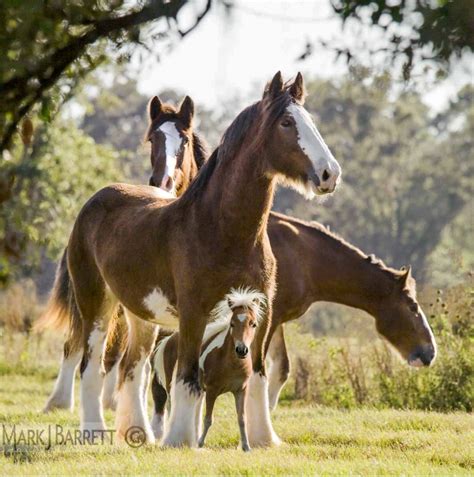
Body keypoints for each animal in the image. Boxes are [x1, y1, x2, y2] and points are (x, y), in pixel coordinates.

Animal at [151, 286, 264, 450]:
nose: (241, 350)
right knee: (172, 407)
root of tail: (168, 340)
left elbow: (242, 418)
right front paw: (200, 444)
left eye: (253, 324)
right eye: (232, 323)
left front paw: (246, 447)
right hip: (172, 385)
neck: (230, 364)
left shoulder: (241, 390)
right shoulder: (212, 391)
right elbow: (208, 419)